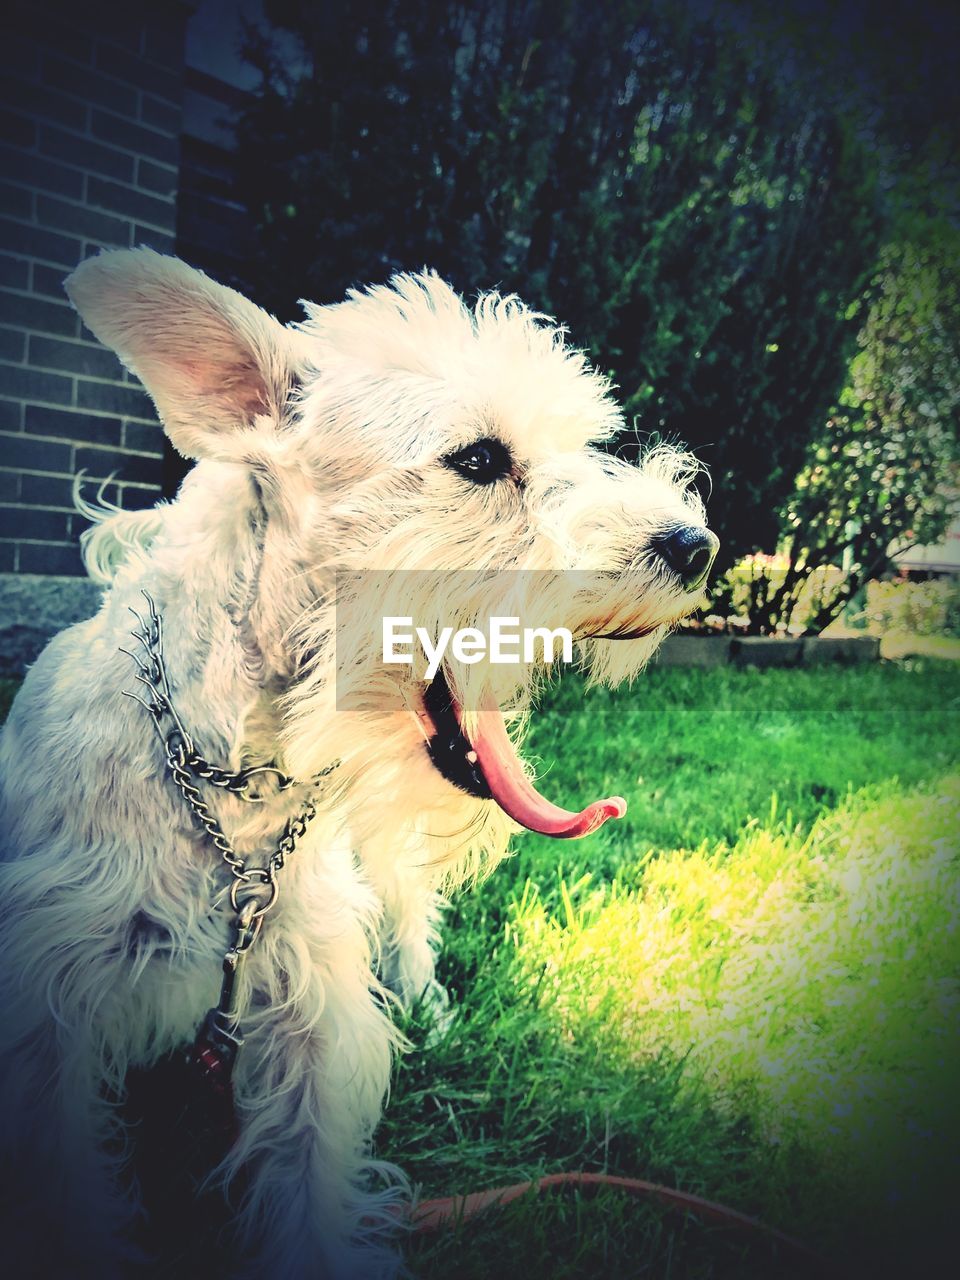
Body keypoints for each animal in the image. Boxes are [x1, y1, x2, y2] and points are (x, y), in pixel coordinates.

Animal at [0, 252, 716, 1280]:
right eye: (479, 460)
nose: (695, 546)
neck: (235, 785)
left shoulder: (313, 1016)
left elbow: (309, 1193)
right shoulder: (44, 1024)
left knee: (411, 917)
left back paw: (435, 1011)